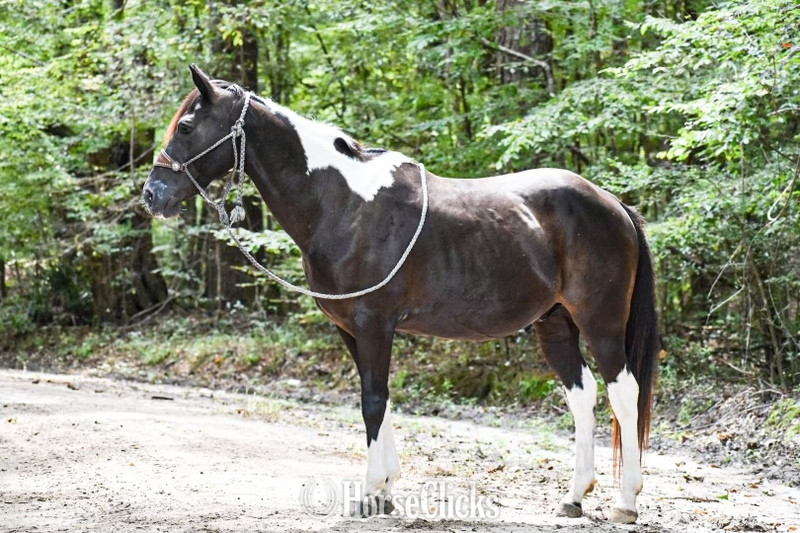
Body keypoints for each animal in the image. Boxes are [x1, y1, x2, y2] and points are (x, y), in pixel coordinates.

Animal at [142, 64, 659, 524]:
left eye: (186, 126)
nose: (152, 195)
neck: (342, 204)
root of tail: (615, 204)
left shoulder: (375, 323)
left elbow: (373, 400)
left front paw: (372, 494)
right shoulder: (351, 329)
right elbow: (380, 399)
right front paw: (386, 491)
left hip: (600, 321)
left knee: (624, 391)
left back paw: (626, 502)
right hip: (554, 323)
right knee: (582, 393)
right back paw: (574, 497)